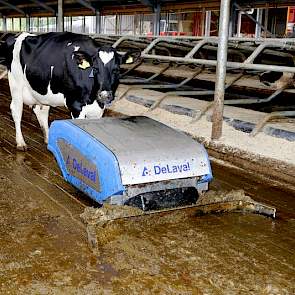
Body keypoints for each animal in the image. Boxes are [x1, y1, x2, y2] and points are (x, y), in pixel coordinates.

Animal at [0, 33, 135, 150]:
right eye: (95, 68)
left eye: (117, 70)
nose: (104, 95)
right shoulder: (75, 105)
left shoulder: (99, 109)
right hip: (16, 85)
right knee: (16, 111)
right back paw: (20, 142)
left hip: (43, 93)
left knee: (41, 111)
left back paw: (48, 139)